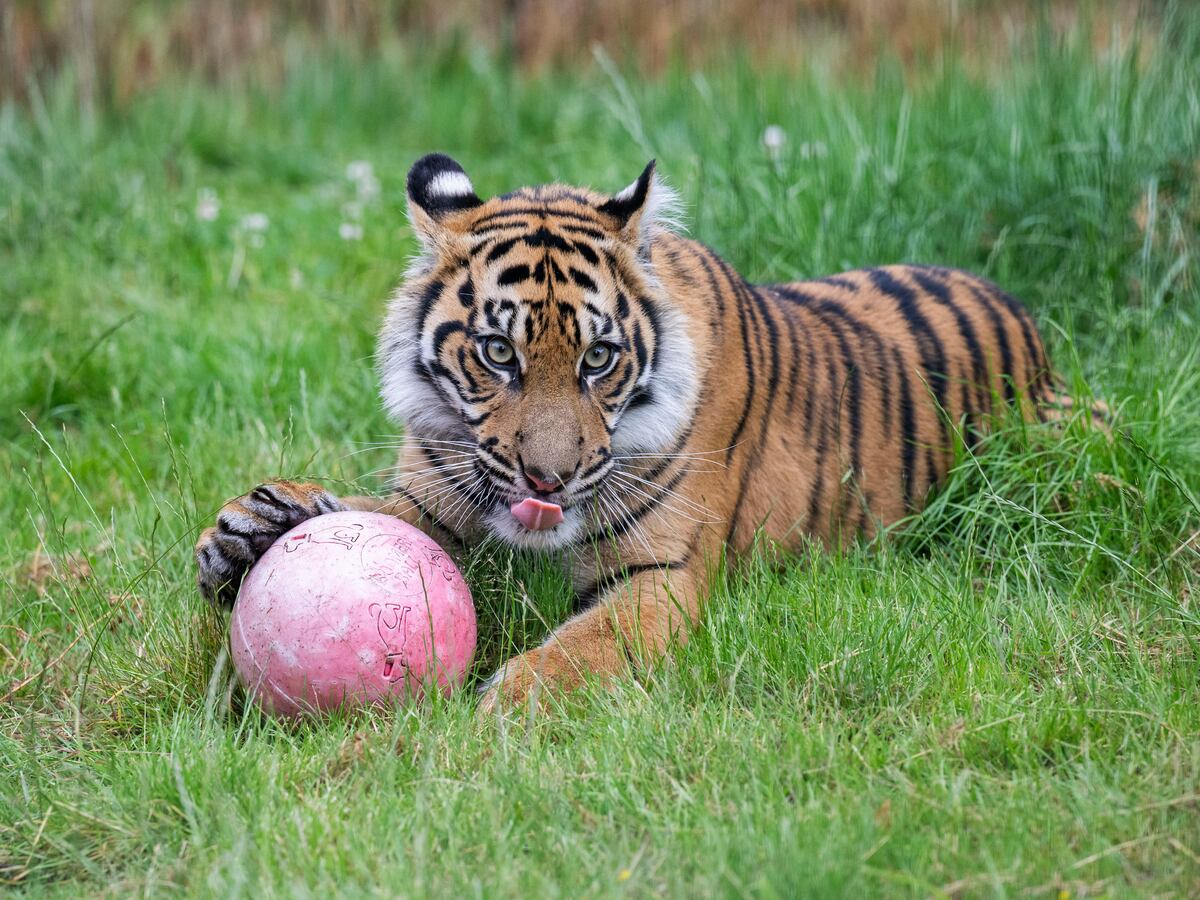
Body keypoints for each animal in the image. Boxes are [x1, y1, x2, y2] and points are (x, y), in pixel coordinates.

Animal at [196, 153, 1099, 710]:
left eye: (598, 358)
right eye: (497, 352)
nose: (548, 482)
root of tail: (1018, 307)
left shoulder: (661, 573)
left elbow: (585, 647)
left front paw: (504, 709)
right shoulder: (435, 496)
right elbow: (369, 518)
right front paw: (253, 526)